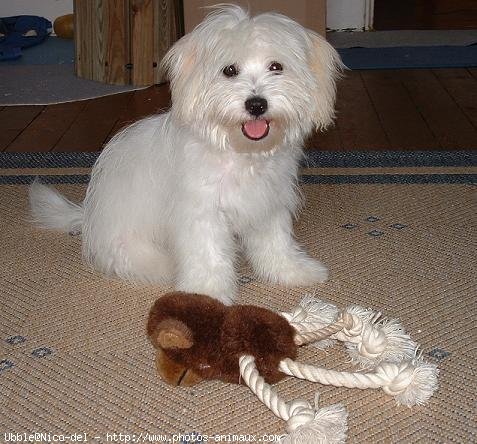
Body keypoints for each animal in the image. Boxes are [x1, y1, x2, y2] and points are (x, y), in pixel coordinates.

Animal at [29, 5, 342, 306]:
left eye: (276, 67)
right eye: (229, 70)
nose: (256, 104)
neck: (240, 153)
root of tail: (88, 218)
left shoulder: (268, 203)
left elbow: (276, 243)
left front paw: (293, 271)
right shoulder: (202, 212)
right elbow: (208, 255)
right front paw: (206, 293)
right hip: (131, 243)